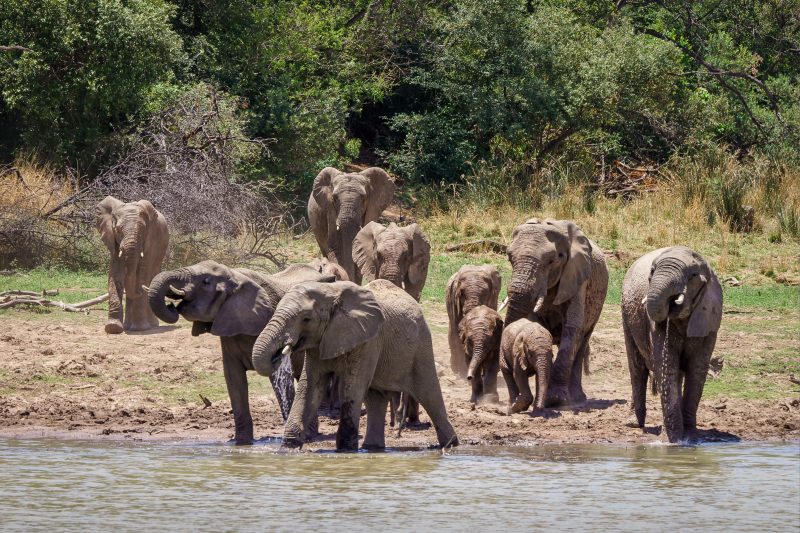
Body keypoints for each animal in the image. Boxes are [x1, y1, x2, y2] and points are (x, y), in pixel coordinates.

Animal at [97, 195, 169, 332]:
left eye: (143, 230)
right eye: (118, 230)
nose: (140, 290)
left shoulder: (150, 240)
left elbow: (142, 272)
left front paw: (140, 329)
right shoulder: (113, 240)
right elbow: (115, 273)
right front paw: (113, 328)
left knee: (152, 274)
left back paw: (150, 325)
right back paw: (127, 326)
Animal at [147, 260, 334, 442]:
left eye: (205, 282)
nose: (171, 305)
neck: (235, 276)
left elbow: (278, 377)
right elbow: (234, 379)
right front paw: (241, 442)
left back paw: (311, 435)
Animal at [253, 278, 460, 448]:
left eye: (306, 318)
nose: (278, 354)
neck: (329, 290)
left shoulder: (369, 340)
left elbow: (352, 386)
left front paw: (345, 450)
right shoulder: (320, 341)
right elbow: (310, 387)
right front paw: (288, 447)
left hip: (421, 344)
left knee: (428, 393)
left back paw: (451, 445)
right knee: (376, 398)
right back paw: (372, 448)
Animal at [504, 218, 608, 406]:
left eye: (552, 260)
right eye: (509, 258)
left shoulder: (578, 276)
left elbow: (573, 326)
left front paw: (555, 400)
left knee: (581, 342)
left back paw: (577, 398)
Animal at [620, 245, 720, 440]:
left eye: (693, 275)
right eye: (652, 271)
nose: (671, 303)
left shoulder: (710, 319)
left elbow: (697, 369)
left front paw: (690, 437)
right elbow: (665, 366)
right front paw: (671, 439)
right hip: (626, 313)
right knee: (637, 368)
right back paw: (634, 423)